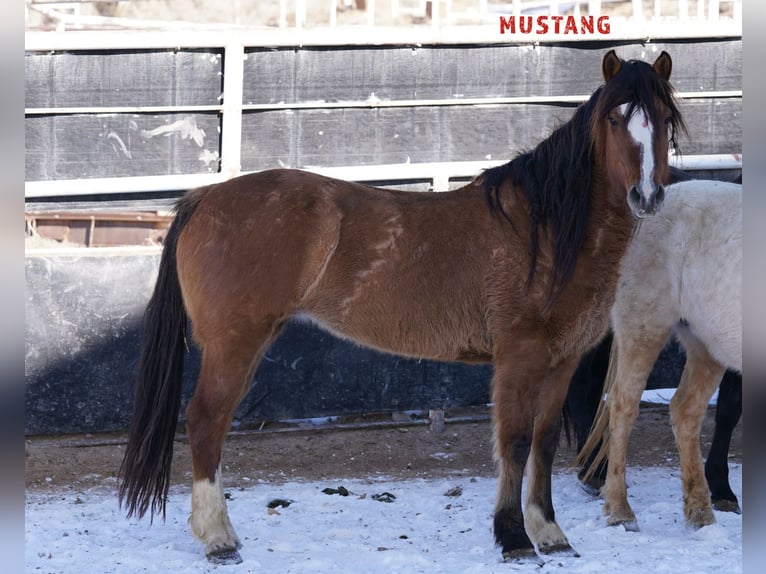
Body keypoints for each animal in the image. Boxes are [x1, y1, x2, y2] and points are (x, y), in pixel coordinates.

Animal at [118, 50, 684, 568]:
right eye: (614, 119)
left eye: (665, 120)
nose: (647, 195)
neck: (544, 229)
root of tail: (204, 197)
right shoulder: (519, 357)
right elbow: (516, 442)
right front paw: (514, 538)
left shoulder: (562, 360)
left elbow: (544, 442)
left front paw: (549, 533)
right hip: (234, 344)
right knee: (206, 421)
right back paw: (218, 539)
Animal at [584, 179, 744, 532]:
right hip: (644, 327)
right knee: (622, 406)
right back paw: (620, 510)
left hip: (705, 343)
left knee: (685, 411)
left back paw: (700, 513)